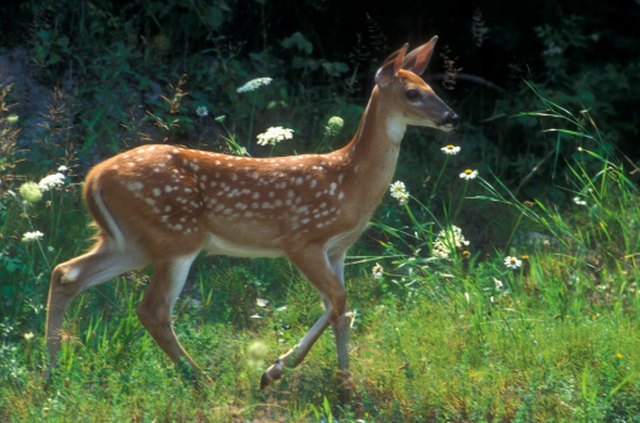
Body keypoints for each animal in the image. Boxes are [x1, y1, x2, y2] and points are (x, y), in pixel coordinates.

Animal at [45, 37, 458, 394]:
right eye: (412, 93)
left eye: (429, 85)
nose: (452, 116)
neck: (350, 180)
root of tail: (94, 178)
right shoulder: (301, 238)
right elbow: (338, 301)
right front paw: (274, 371)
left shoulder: (338, 249)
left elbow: (342, 311)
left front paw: (345, 382)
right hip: (175, 236)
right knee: (153, 310)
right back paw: (201, 378)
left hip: (131, 242)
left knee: (66, 273)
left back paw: (51, 372)